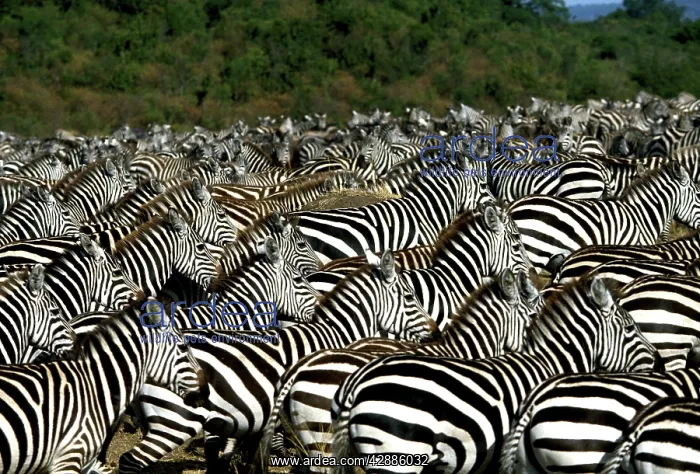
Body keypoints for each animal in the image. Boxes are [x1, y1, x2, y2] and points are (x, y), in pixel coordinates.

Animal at [117, 249, 439, 474]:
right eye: (410, 296)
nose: (436, 332)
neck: (335, 334)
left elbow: (249, 454)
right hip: (176, 419)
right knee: (130, 462)